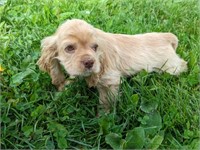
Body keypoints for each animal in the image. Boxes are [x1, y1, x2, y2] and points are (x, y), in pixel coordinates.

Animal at [37, 18, 188, 112]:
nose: (90, 62)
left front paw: (103, 117)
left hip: (170, 66)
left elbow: (105, 101)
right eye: (69, 48)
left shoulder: (110, 80)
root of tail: (166, 37)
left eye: (95, 47)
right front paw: (63, 89)